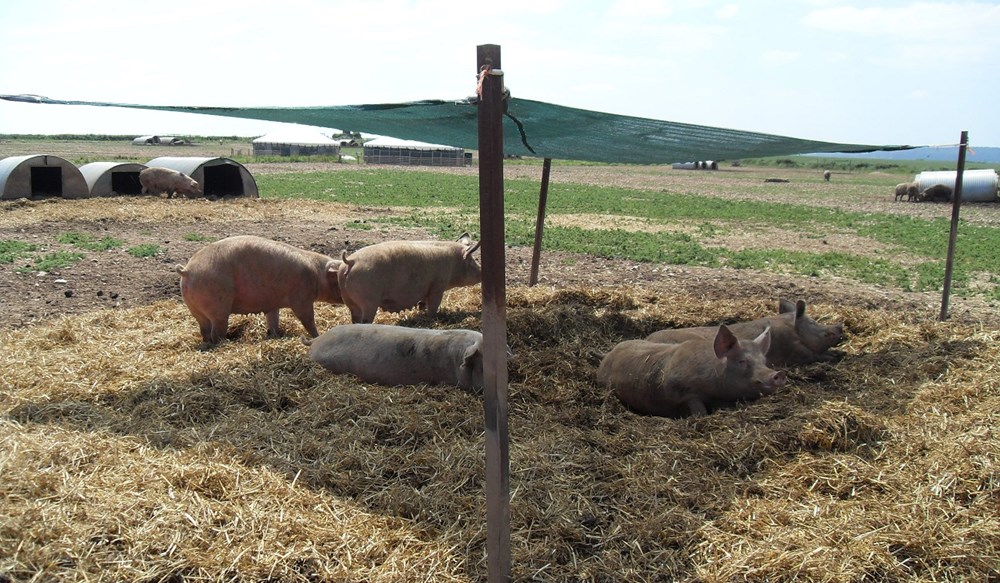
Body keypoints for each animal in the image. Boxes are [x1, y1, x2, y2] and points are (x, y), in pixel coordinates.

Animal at [175, 235, 343, 344]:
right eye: (338, 280)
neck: (316, 275)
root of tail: (187, 271)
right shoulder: (301, 299)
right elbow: (308, 319)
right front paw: (318, 335)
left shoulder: (273, 303)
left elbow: (273, 319)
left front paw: (275, 335)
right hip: (218, 308)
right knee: (216, 333)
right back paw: (224, 343)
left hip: (195, 309)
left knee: (204, 330)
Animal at [338, 233, 482, 323]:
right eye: (472, 260)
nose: (481, 270)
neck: (454, 263)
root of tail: (351, 261)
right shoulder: (437, 287)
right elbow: (433, 306)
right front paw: (431, 319)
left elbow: (422, 304)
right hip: (369, 301)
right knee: (365, 321)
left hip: (349, 301)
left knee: (355, 319)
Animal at [598, 325, 786, 418]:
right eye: (742, 361)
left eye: (764, 361)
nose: (778, 374)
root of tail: (607, 355)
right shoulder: (684, 393)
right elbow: (698, 411)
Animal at [645, 298, 843, 367]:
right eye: (813, 322)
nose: (840, 326)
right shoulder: (795, 350)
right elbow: (813, 355)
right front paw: (834, 358)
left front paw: (839, 354)